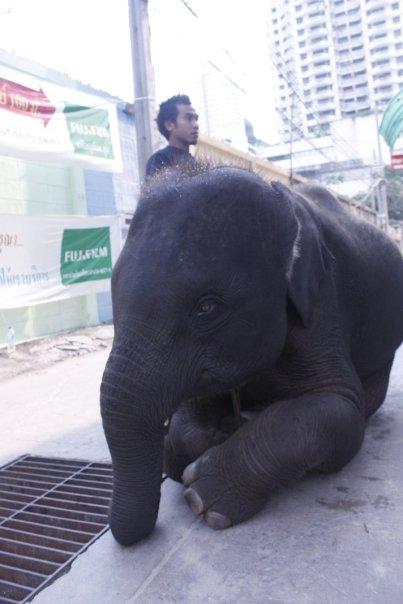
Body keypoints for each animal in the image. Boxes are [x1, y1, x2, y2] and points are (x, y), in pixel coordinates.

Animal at [100, 166, 403, 548]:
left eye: (207, 307)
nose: (136, 538)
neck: (283, 201)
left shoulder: (321, 303)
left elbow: (340, 411)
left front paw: (203, 495)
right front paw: (218, 433)